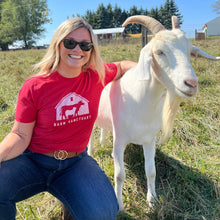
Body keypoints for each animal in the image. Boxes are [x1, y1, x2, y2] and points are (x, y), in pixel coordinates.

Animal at [88, 15, 220, 211]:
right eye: (159, 52)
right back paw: (91, 152)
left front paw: (152, 200)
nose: (191, 84)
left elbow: (151, 171)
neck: (140, 102)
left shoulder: (149, 140)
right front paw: (119, 205)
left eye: (189, 51)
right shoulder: (120, 141)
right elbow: (120, 174)